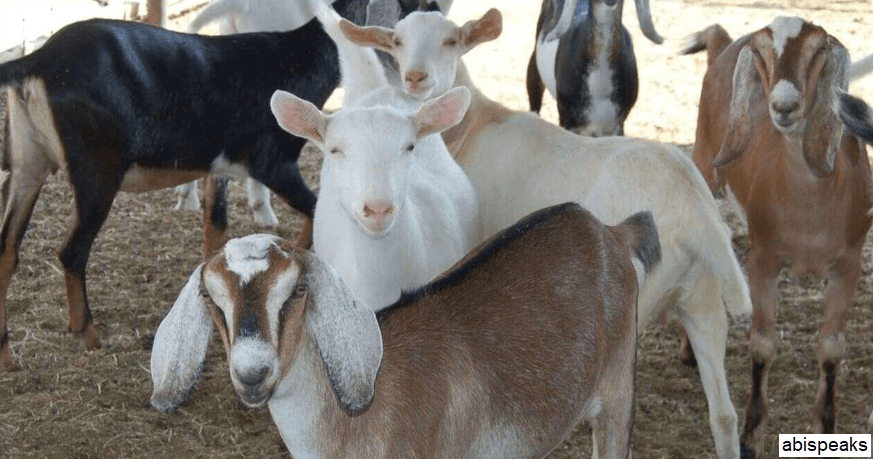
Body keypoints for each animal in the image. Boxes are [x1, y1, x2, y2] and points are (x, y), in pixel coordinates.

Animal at [0, 0, 368, 371]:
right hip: (97, 170)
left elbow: (215, 227)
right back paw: (87, 335)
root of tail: (40, 60)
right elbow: (315, 213)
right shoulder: (274, 164)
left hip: (27, 164)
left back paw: (7, 355)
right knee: (72, 252)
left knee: (7, 250)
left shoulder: (220, 166)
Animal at [682, 18, 873, 457]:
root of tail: (721, 43)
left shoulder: (849, 264)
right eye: (762, 54)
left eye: (818, 50)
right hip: (703, 168)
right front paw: (751, 437)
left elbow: (832, 350)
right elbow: (763, 346)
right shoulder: (763, 259)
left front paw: (824, 428)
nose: (784, 106)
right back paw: (687, 352)